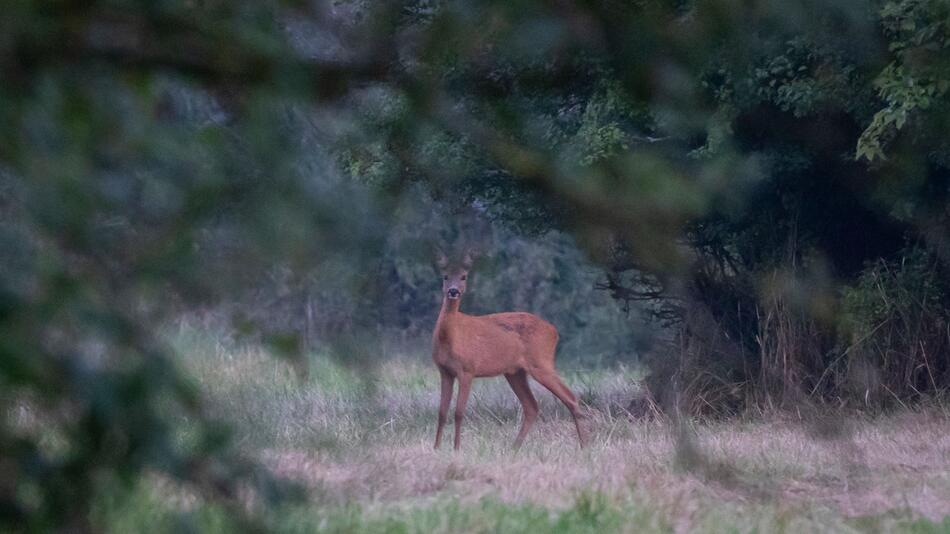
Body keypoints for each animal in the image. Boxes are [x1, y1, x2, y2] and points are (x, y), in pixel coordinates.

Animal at [432, 251, 588, 452]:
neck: (451, 337)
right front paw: (436, 447)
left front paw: (457, 448)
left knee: (570, 397)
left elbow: (459, 412)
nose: (453, 291)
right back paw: (515, 447)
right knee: (532, 405)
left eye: (463, 276)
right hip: (515, 372)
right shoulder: (445, 371)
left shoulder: (467, 369)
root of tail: (554, 332)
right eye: (445, 276)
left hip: (541, 362)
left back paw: (585, 445)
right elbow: (442, 412)